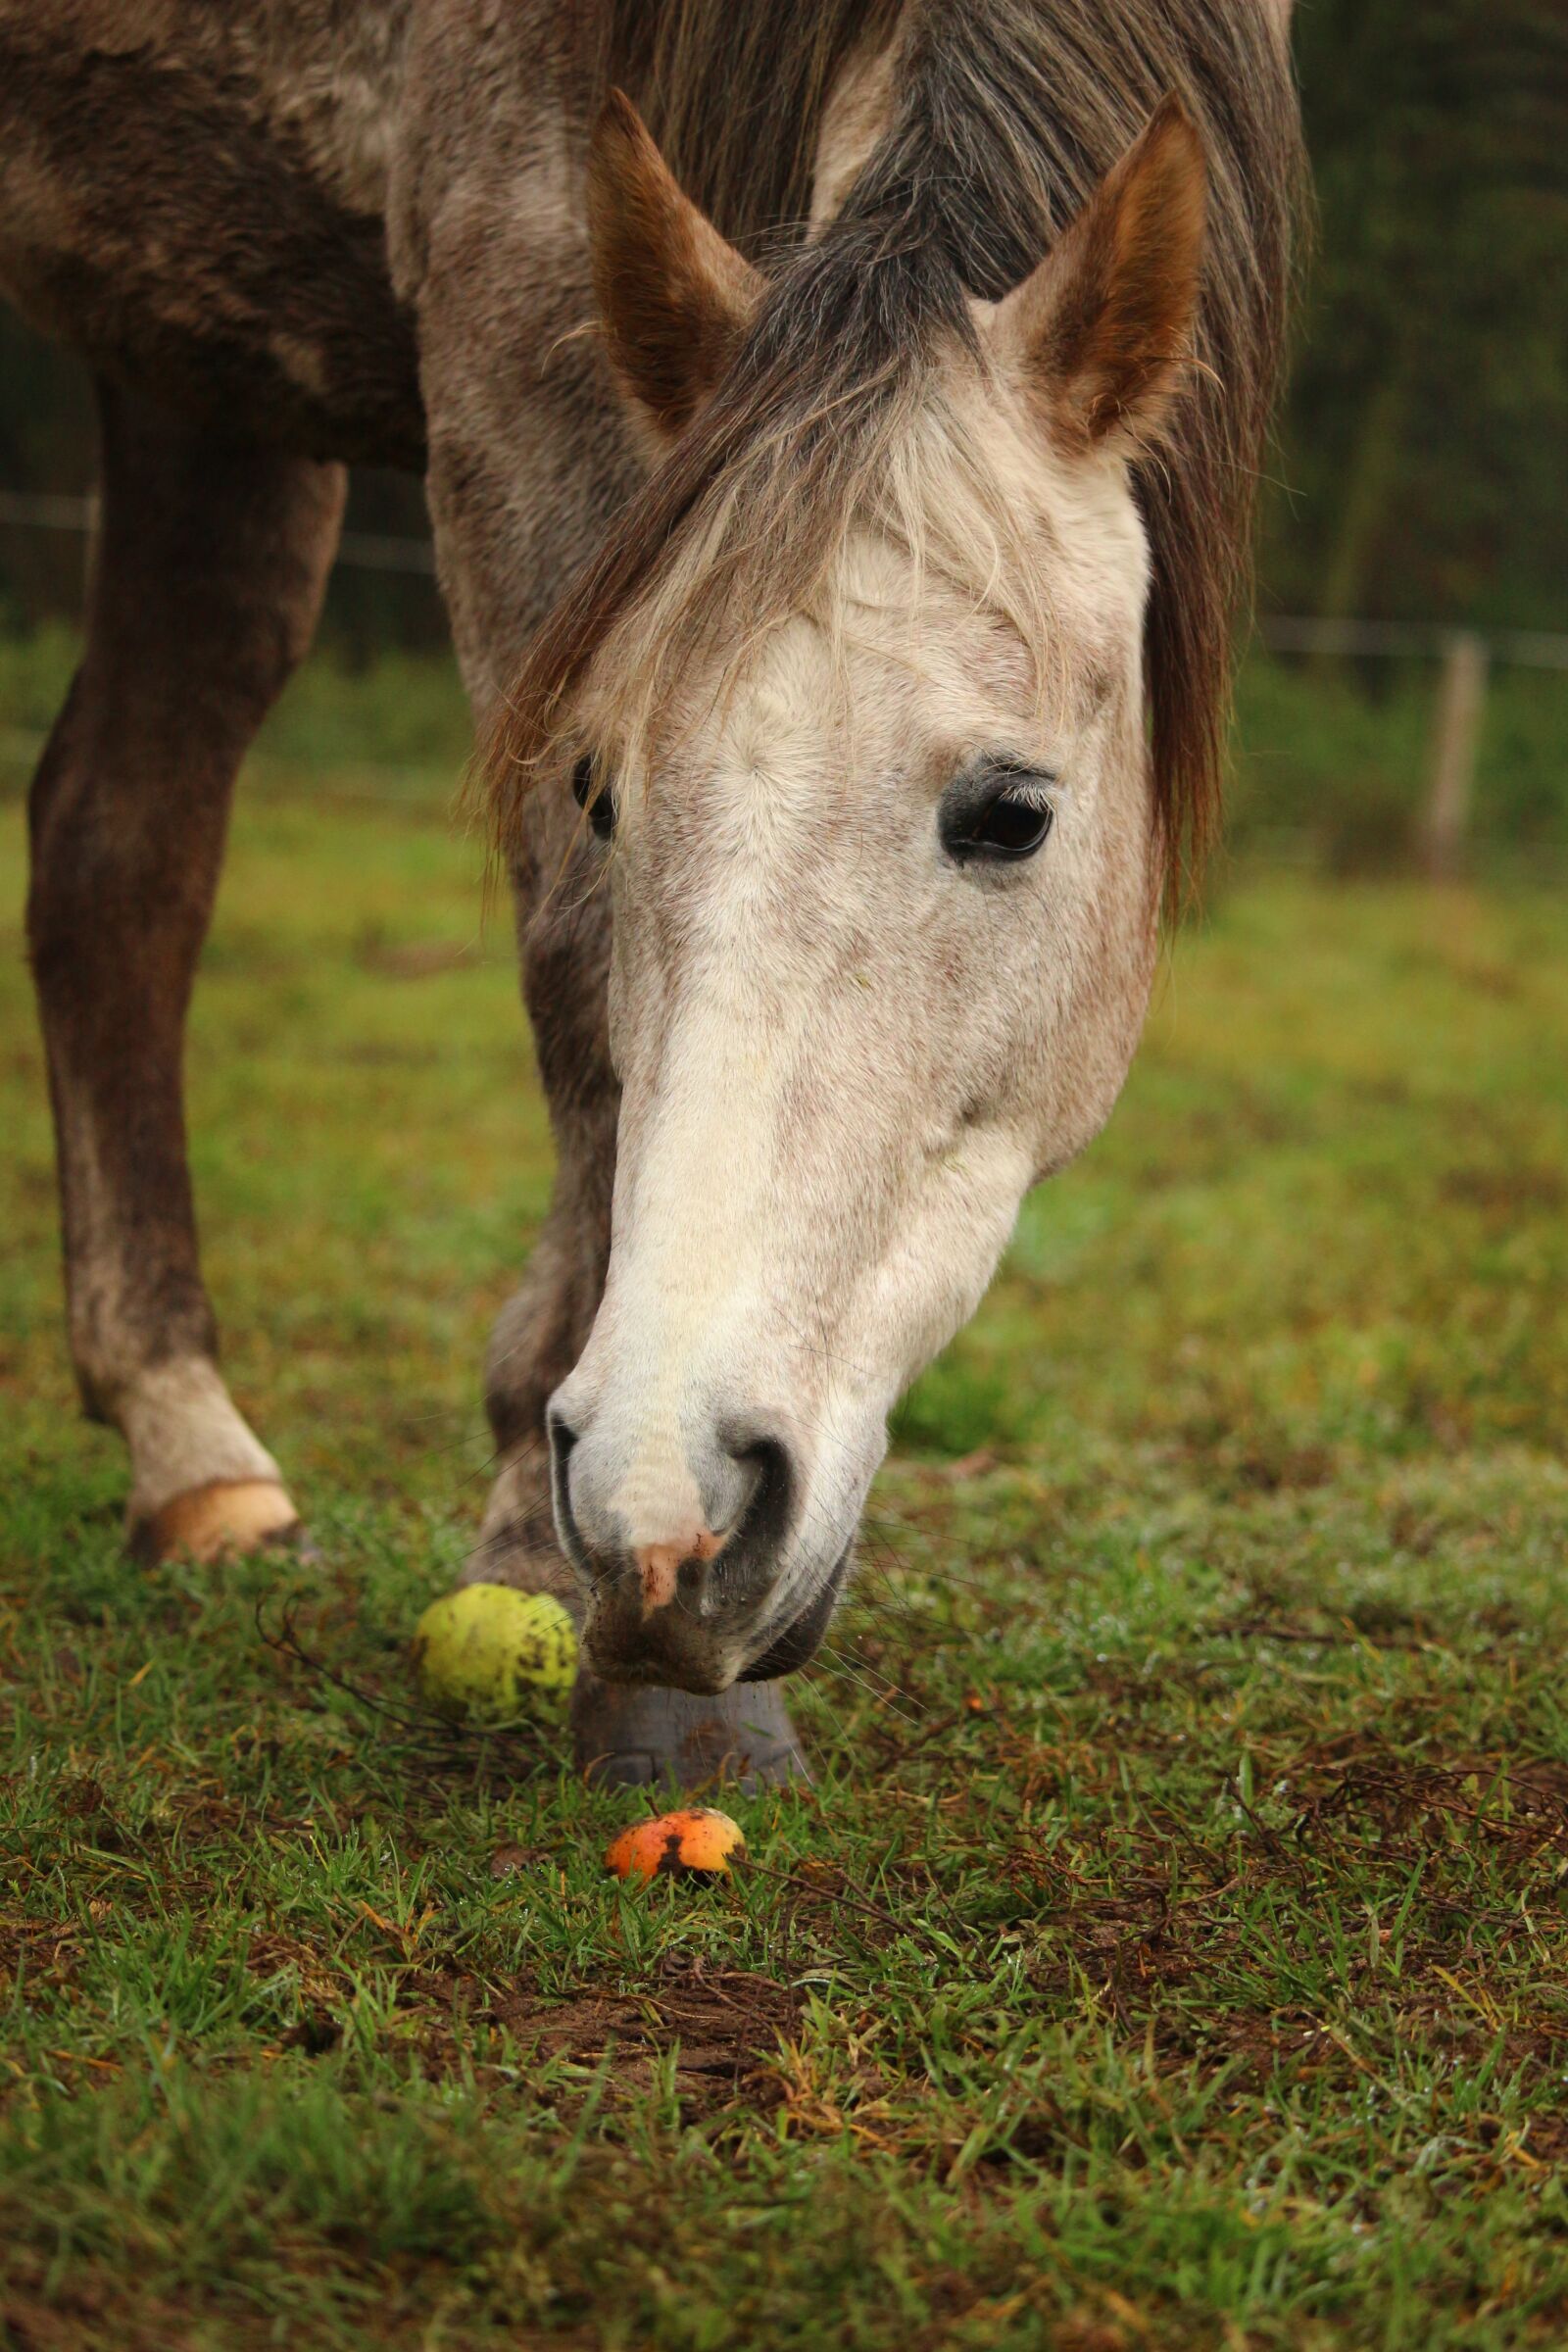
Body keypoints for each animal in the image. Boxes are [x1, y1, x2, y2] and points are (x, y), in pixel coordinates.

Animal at [2, 0, 1303, 1788]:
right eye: (599, 791)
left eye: (1014, 814)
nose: (673, 1506)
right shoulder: (511, 296)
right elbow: (574, 989)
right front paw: (588, 1602)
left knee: (119, 839)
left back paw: (188, 1451)